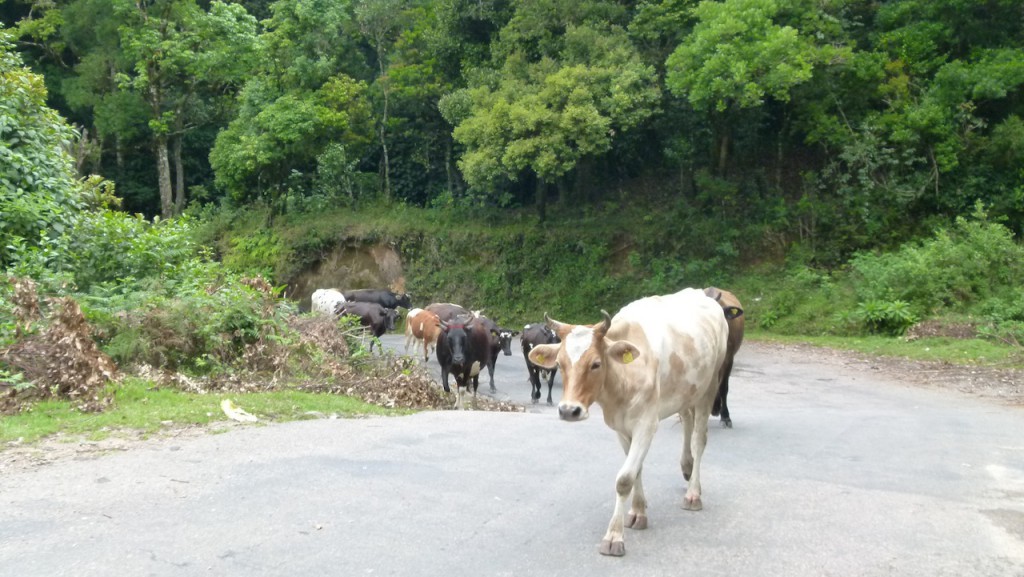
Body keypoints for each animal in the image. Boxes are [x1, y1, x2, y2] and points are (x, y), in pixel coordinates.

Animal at [528, 286, 729, 553]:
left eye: (595, 364)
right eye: (560, 364)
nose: (569, 410)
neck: (621, 381)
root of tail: (700, 293)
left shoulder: (646, 424)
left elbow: (624, 479)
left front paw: (614, 536)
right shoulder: (621, 428)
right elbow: (636, 470)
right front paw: (638, 511)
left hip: (710, 386)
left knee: (699, 439)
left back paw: (693, 493)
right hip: (686, 391)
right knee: (686, 419)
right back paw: (686, 467)